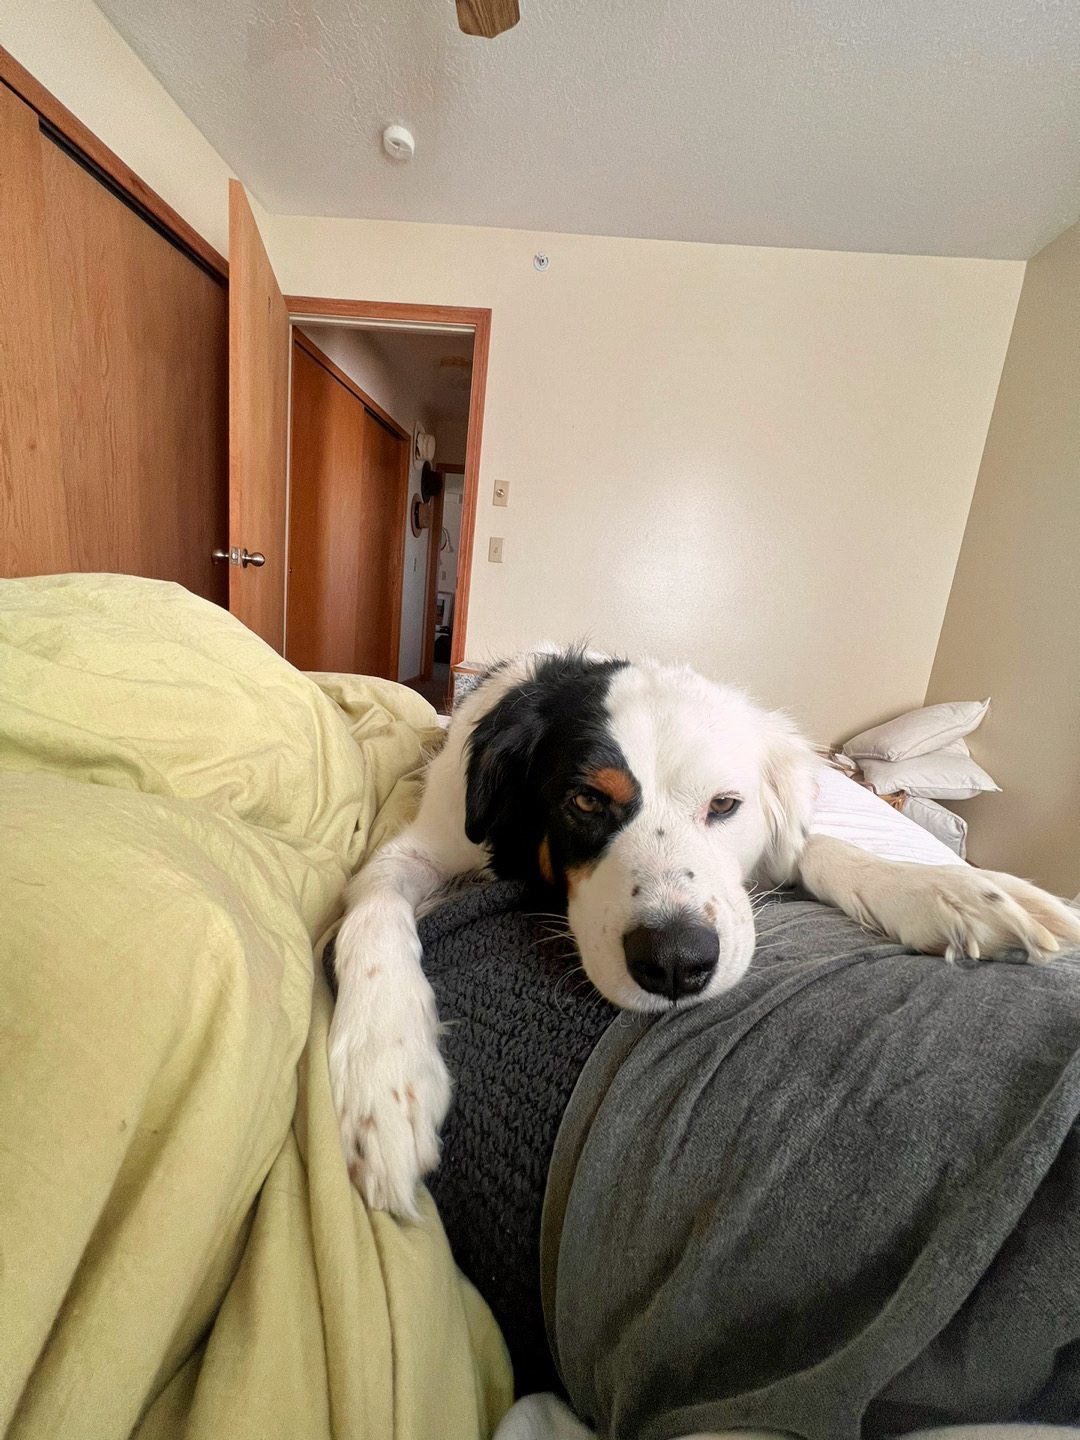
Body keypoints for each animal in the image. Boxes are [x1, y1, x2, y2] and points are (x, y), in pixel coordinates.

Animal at [328, 647, 1080, 1217]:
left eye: (724, 806)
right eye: (586, 801)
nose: (674, 962)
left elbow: (820, 848)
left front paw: (951, 890)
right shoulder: (423, 846)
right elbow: (373, 909)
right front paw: (385, 1072)